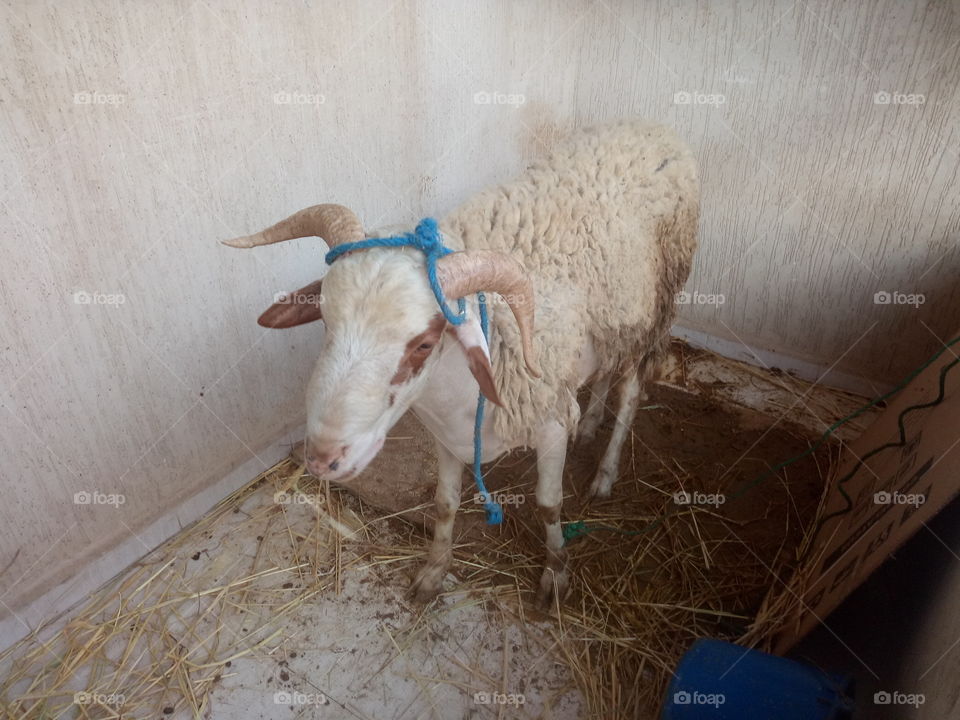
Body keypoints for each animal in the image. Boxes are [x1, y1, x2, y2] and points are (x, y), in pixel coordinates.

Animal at [223, 119, 699, 606]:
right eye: (323, 319)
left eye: (424, 344)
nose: (321, 459)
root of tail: (649, 126)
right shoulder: (446, 436)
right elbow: (444, 503)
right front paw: (433, 572)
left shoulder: (547, 423)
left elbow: (549, 504)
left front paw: (555, 573)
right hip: (610, 326)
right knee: (605, 371)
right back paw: (589, 424)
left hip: (657, 306)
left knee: (632, 393)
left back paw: (605, 473)